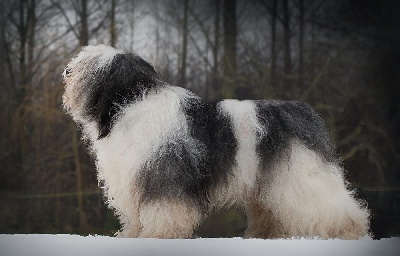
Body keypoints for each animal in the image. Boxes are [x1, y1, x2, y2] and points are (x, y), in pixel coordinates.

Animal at [61, 45, 370, 239]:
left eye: (90, 66)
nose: (66, 71)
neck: (134, 104)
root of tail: (301, 110)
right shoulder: (133, 176)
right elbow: (136, 215)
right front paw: (133, 234)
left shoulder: (164, 171)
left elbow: (164, 210)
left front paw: (159, 235)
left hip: (301, 173)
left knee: (331, 205)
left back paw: (350, 231)